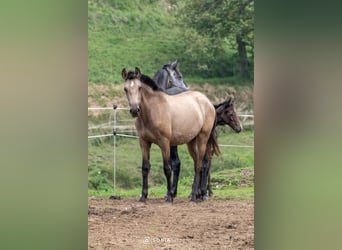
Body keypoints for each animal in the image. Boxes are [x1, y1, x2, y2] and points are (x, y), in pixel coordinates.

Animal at [121, 67, 220, 202]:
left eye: (139, 88)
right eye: (125, 89)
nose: (135, 110)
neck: (152, 111)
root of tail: (208, 102)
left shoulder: (165, 143)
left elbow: (167, 168)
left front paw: (169, 196)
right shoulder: (144, 142)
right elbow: (145, 168)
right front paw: (143, 196)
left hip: (203, 137)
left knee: (200, 165)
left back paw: (195, 196)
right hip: (192, 141)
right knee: (201, 163)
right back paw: (201, 194)